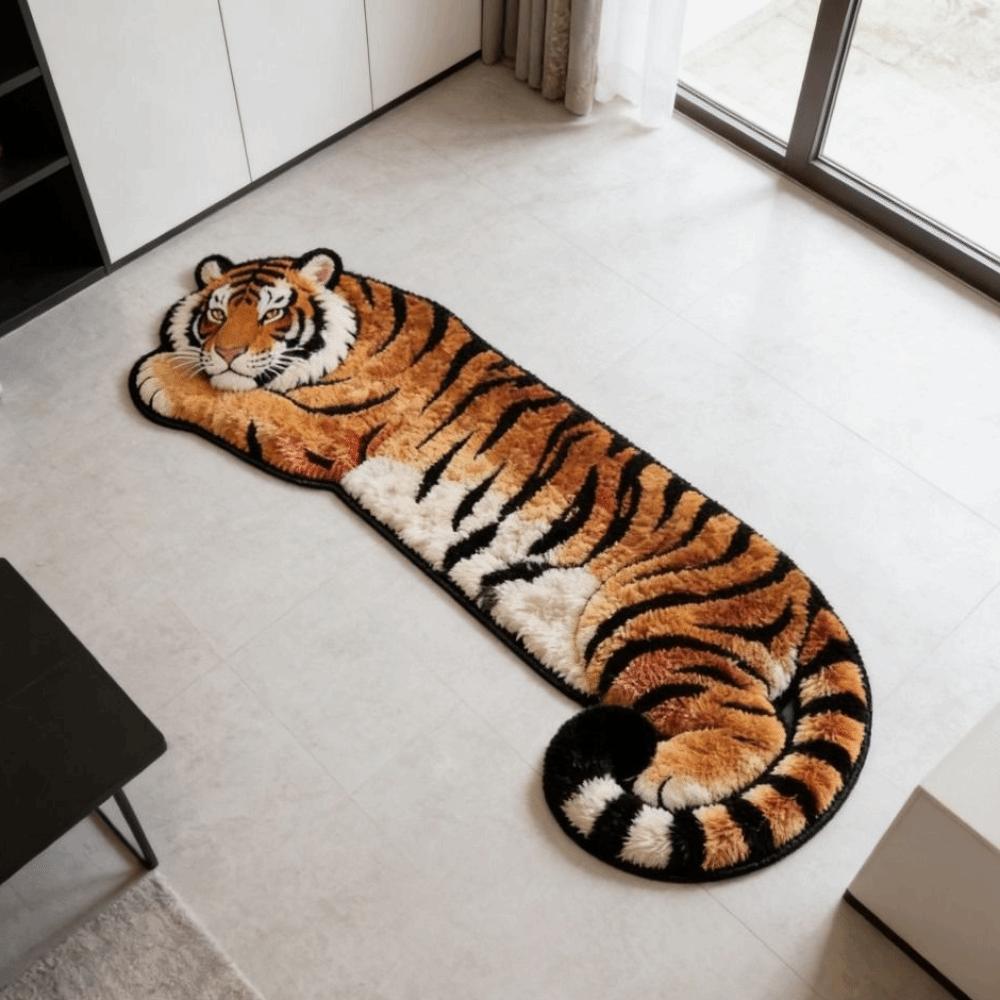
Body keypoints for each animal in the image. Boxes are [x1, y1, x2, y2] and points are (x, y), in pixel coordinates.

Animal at [131, 248, 871, 880]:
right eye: (216, 313)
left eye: (274, 313)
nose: (225, 352)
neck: (356, 318)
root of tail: (812, 598)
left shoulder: (324, 435)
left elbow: (241, 401)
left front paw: (158, 373)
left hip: (648, 622)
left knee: (755, 724)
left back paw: (668, 773)